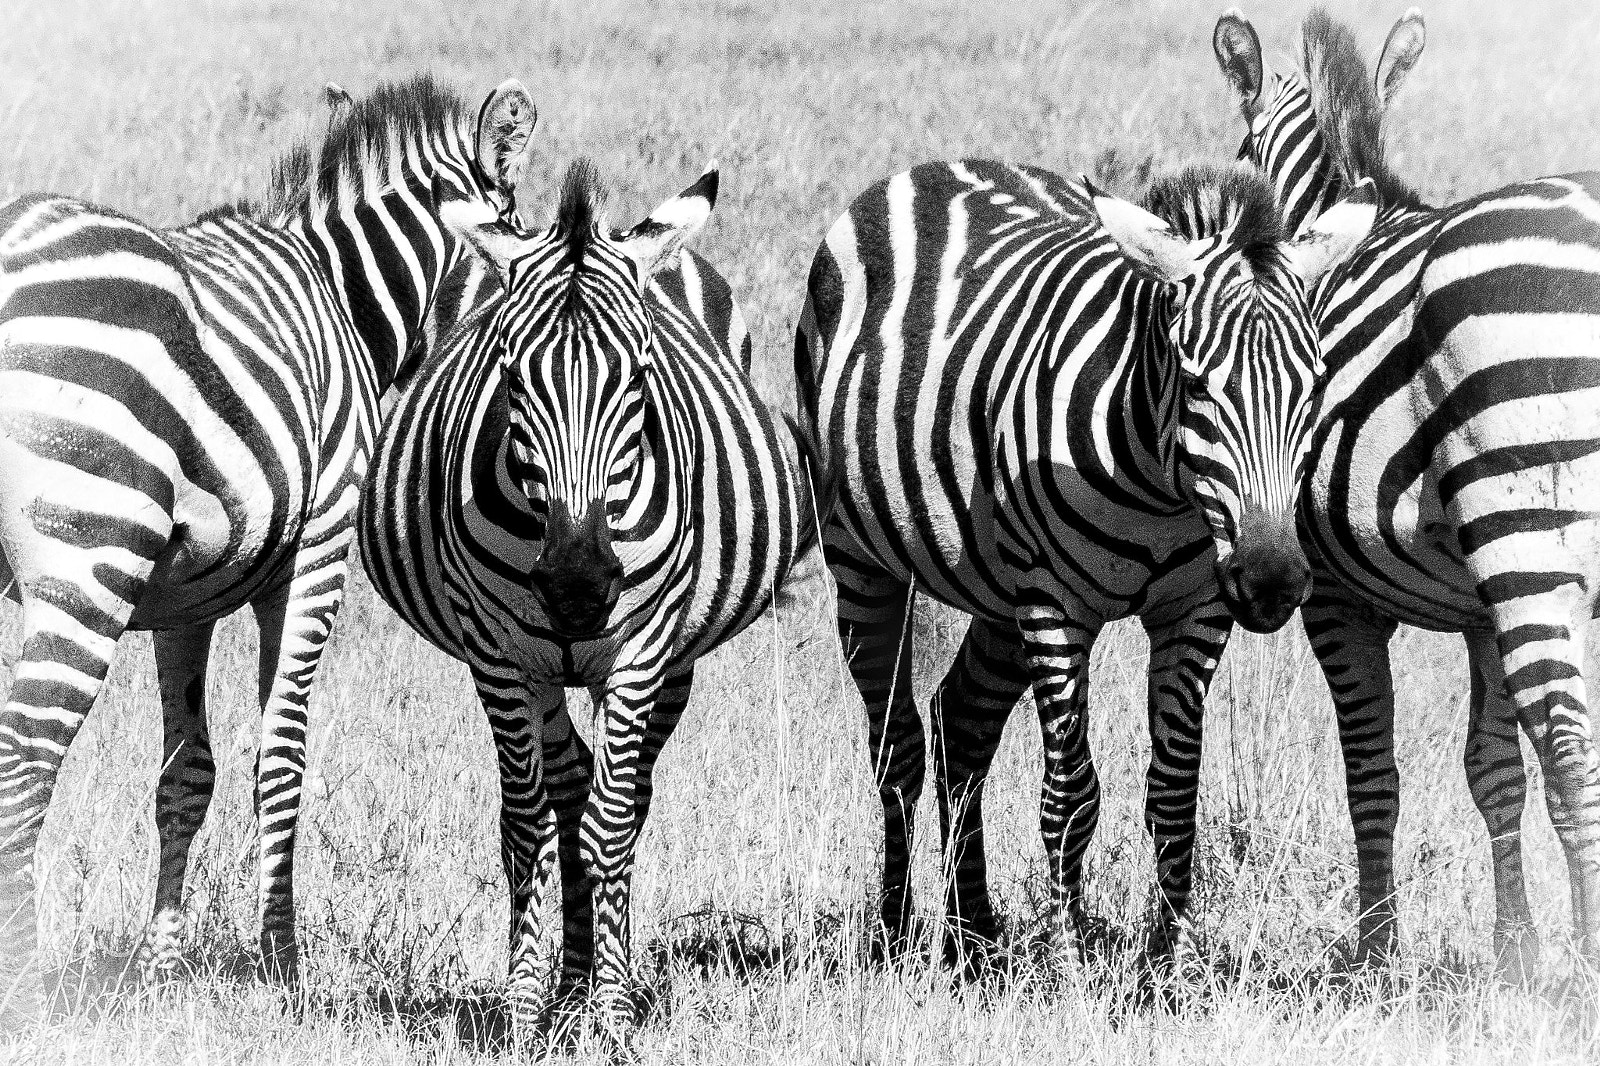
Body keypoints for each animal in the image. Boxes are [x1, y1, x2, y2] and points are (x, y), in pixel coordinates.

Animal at [0, 75, 533, 1014]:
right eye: (526, 247)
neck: (347, 295)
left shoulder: (187, 595)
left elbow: (187, 776)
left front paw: (164, 968)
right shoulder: (317, 551)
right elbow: (281, 756)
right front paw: (283, 963)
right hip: (88, 557)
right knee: (25, 766)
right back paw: (26, 991)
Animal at [357, 159, 813, 1029]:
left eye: (640, 376)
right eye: (509, 378)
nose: (575, 585)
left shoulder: (642, 651)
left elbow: (609, 825)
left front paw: (612, 1015)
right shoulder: (498, 656)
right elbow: (528, 821)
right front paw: (525, 1007)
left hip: (672, 662)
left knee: (625, 800)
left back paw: (604, 978)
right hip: (537, 668)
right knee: (564, 785)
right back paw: (564, 985)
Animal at [793, 157, 1375, 966]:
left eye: (1314, 384)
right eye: (1194, 380)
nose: (1272, 583)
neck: (1161, 494)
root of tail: (933, 167)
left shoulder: (1196, 610)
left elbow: (1173, 791)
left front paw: (1170, 964)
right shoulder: (1055, 607)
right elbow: (1071, 794)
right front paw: (1069, 959)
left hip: (999, 591)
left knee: (960, 722)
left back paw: (974, 935)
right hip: (862, 559)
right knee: (896, 745)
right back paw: (896, 932)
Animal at [1215, 7, 1600, 978]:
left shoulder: (1333, 598)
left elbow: (1370, 771)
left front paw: (1377, 951)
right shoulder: (1478, 612)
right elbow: (1492, 771)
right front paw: (1515, 955)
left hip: (1524, 540)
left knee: (1570, 751)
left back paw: (1586, 972)